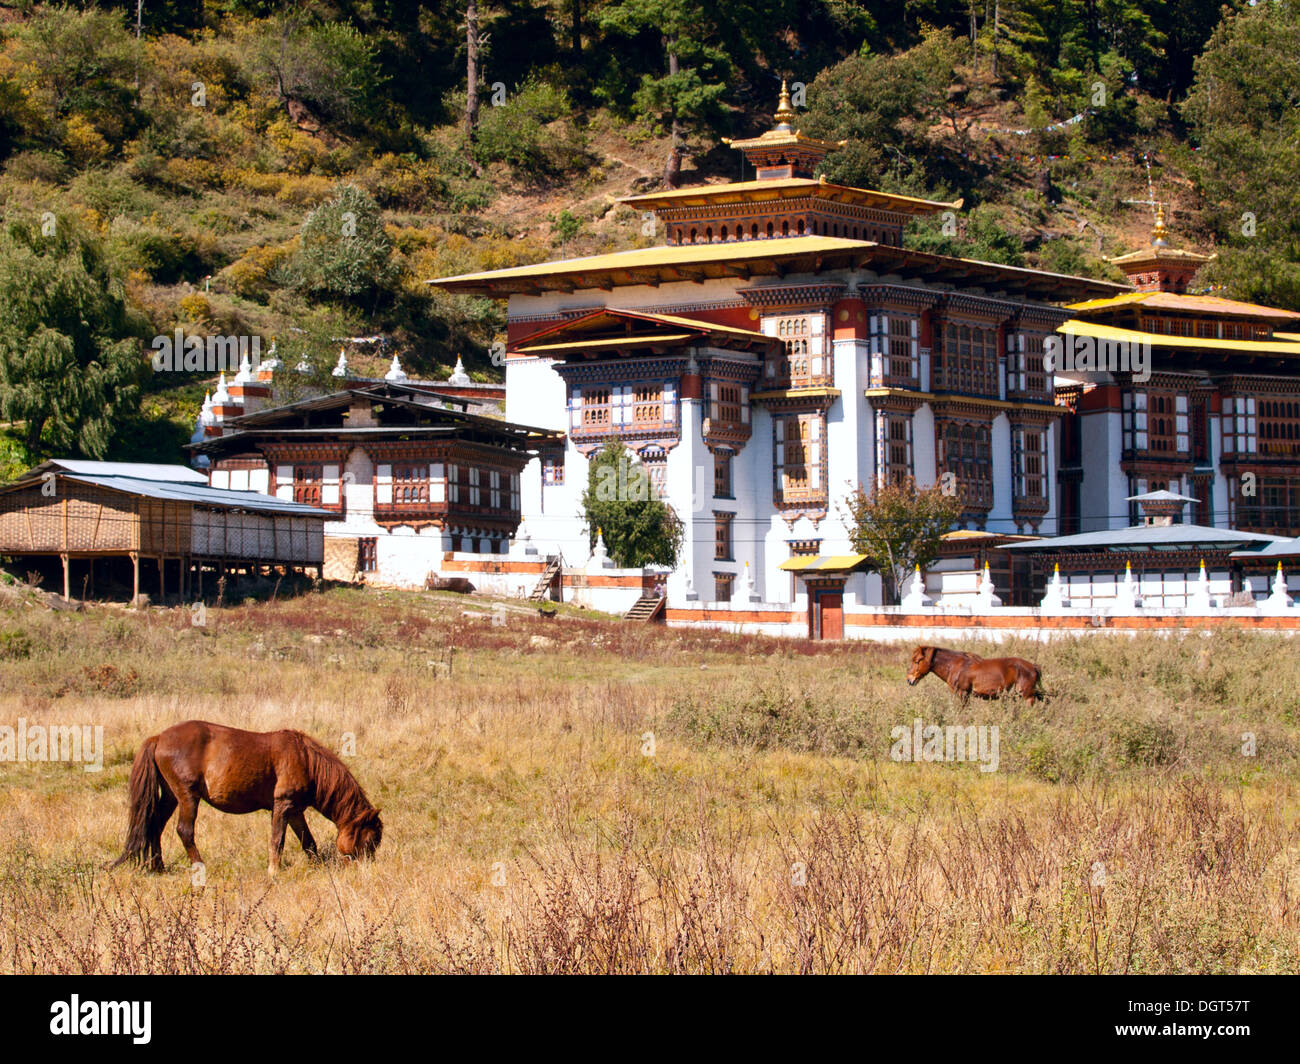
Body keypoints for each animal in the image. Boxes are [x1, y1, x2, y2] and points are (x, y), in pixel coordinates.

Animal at [111, 718, 379, 874]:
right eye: (370, 841)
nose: (367, 869)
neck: (305, 759)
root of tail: (159, 738)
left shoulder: (295, 811)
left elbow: (308, 842)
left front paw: (318, 866)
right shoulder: (283, 805)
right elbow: (277, 840)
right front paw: (273, 872)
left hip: (170, 796)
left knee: (155, 826)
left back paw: (159, 867)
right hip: (187, 796)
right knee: (184, 830)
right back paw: (200, 867)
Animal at [909, 642, 1040, 702]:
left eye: (917, 661)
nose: (909, 679)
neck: (954, 666)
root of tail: (1033, 666)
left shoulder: (963, 693)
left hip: (1027, 696)